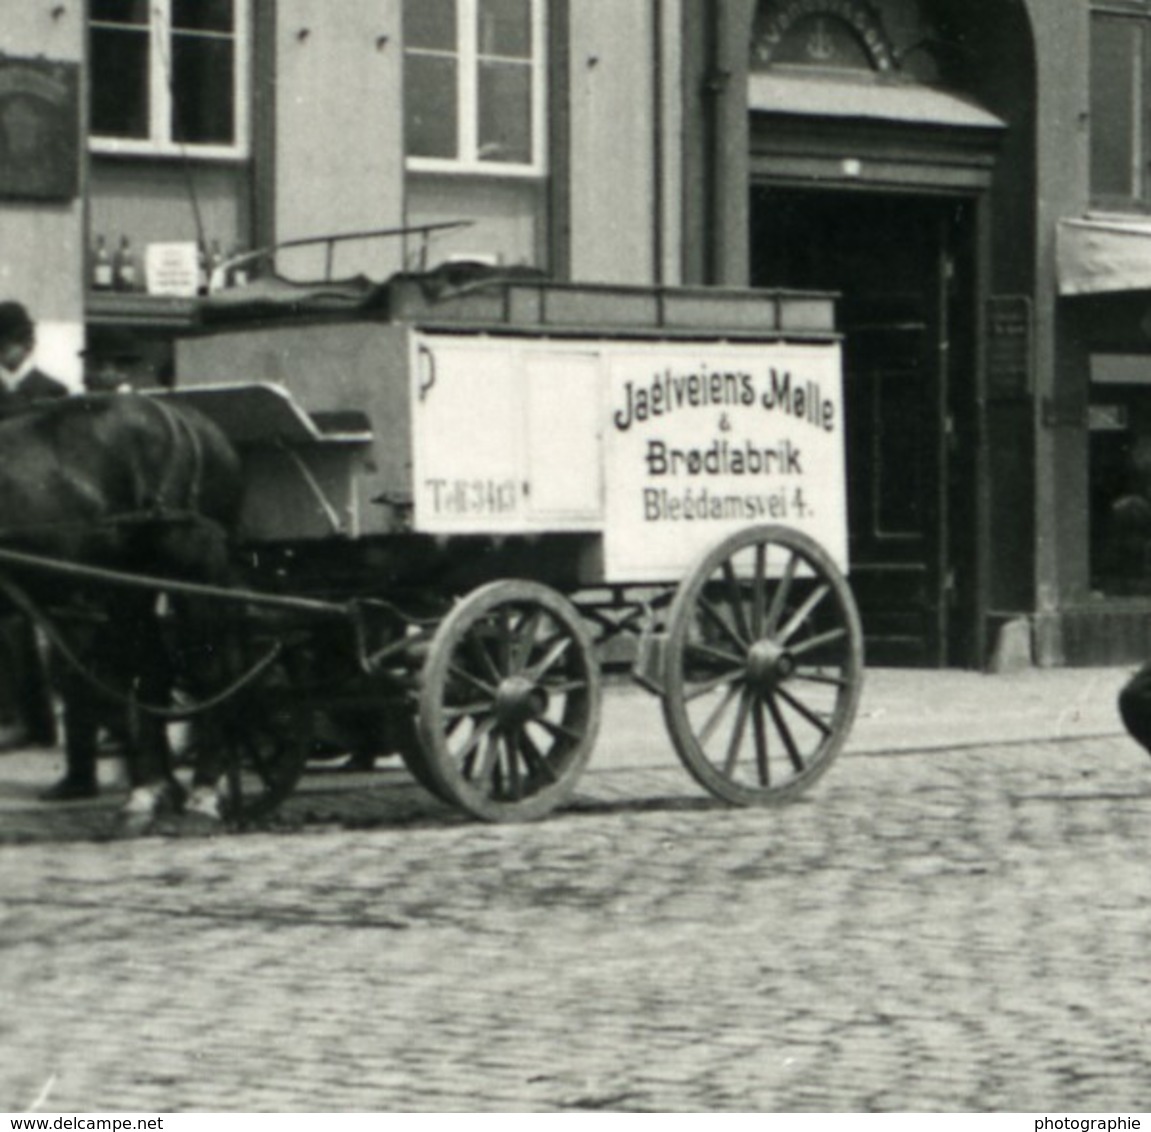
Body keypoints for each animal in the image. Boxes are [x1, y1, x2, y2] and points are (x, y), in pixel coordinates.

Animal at [0, 393, 242, 829]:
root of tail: (190, 419)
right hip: (129, 585)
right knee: (151, 670)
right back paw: (149, 791)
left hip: (191, 572)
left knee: (208, 671)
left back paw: (203, 792)